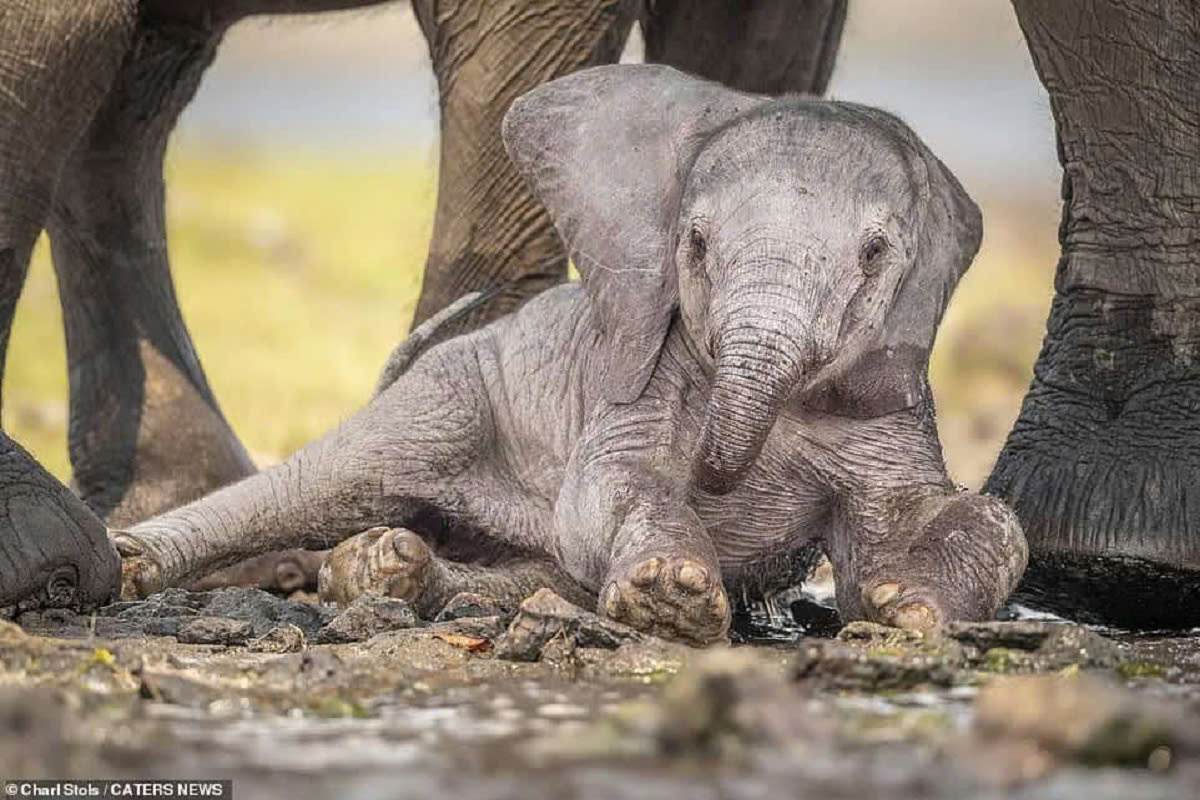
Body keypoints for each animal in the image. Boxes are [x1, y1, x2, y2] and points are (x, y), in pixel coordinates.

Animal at [117, 65, 1027, 647]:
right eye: (695, 244)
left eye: (875, 255)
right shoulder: (635, 368)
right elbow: (614, 482)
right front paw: (670, 601)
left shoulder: (892, 393)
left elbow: (944, 522)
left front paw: (908, 609)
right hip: (451, 391)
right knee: (330, 478)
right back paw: (132, 566)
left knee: (546, 577)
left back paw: (386, 572)